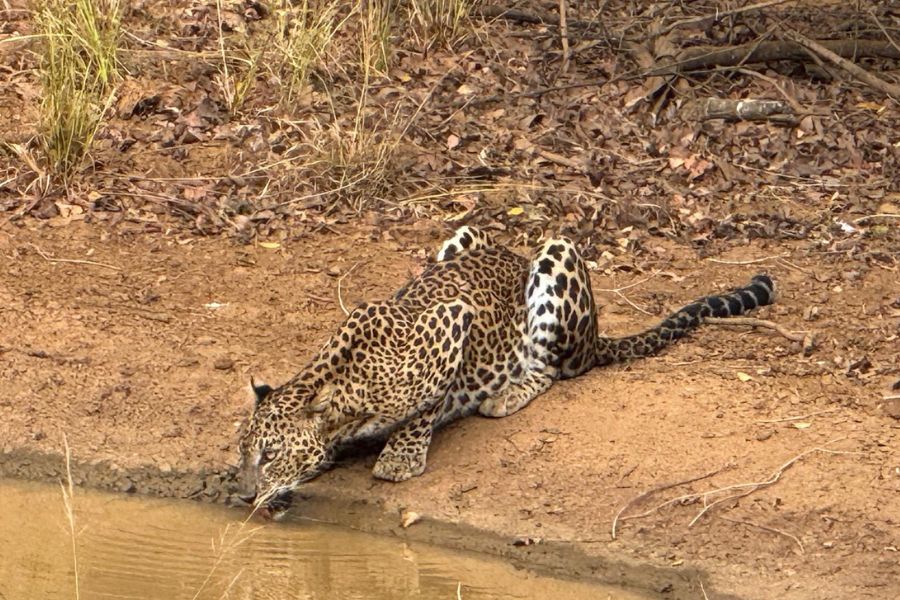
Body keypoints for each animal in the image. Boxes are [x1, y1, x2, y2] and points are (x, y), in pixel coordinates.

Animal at [236, 225, 776, 517]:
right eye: (242, 453)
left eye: (270, 454)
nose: (242, 496)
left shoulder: (453, 323)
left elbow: (424, 407)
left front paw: (400, 457)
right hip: (462, 235)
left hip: (557, 260)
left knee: (554, 367)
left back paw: (507, 394)